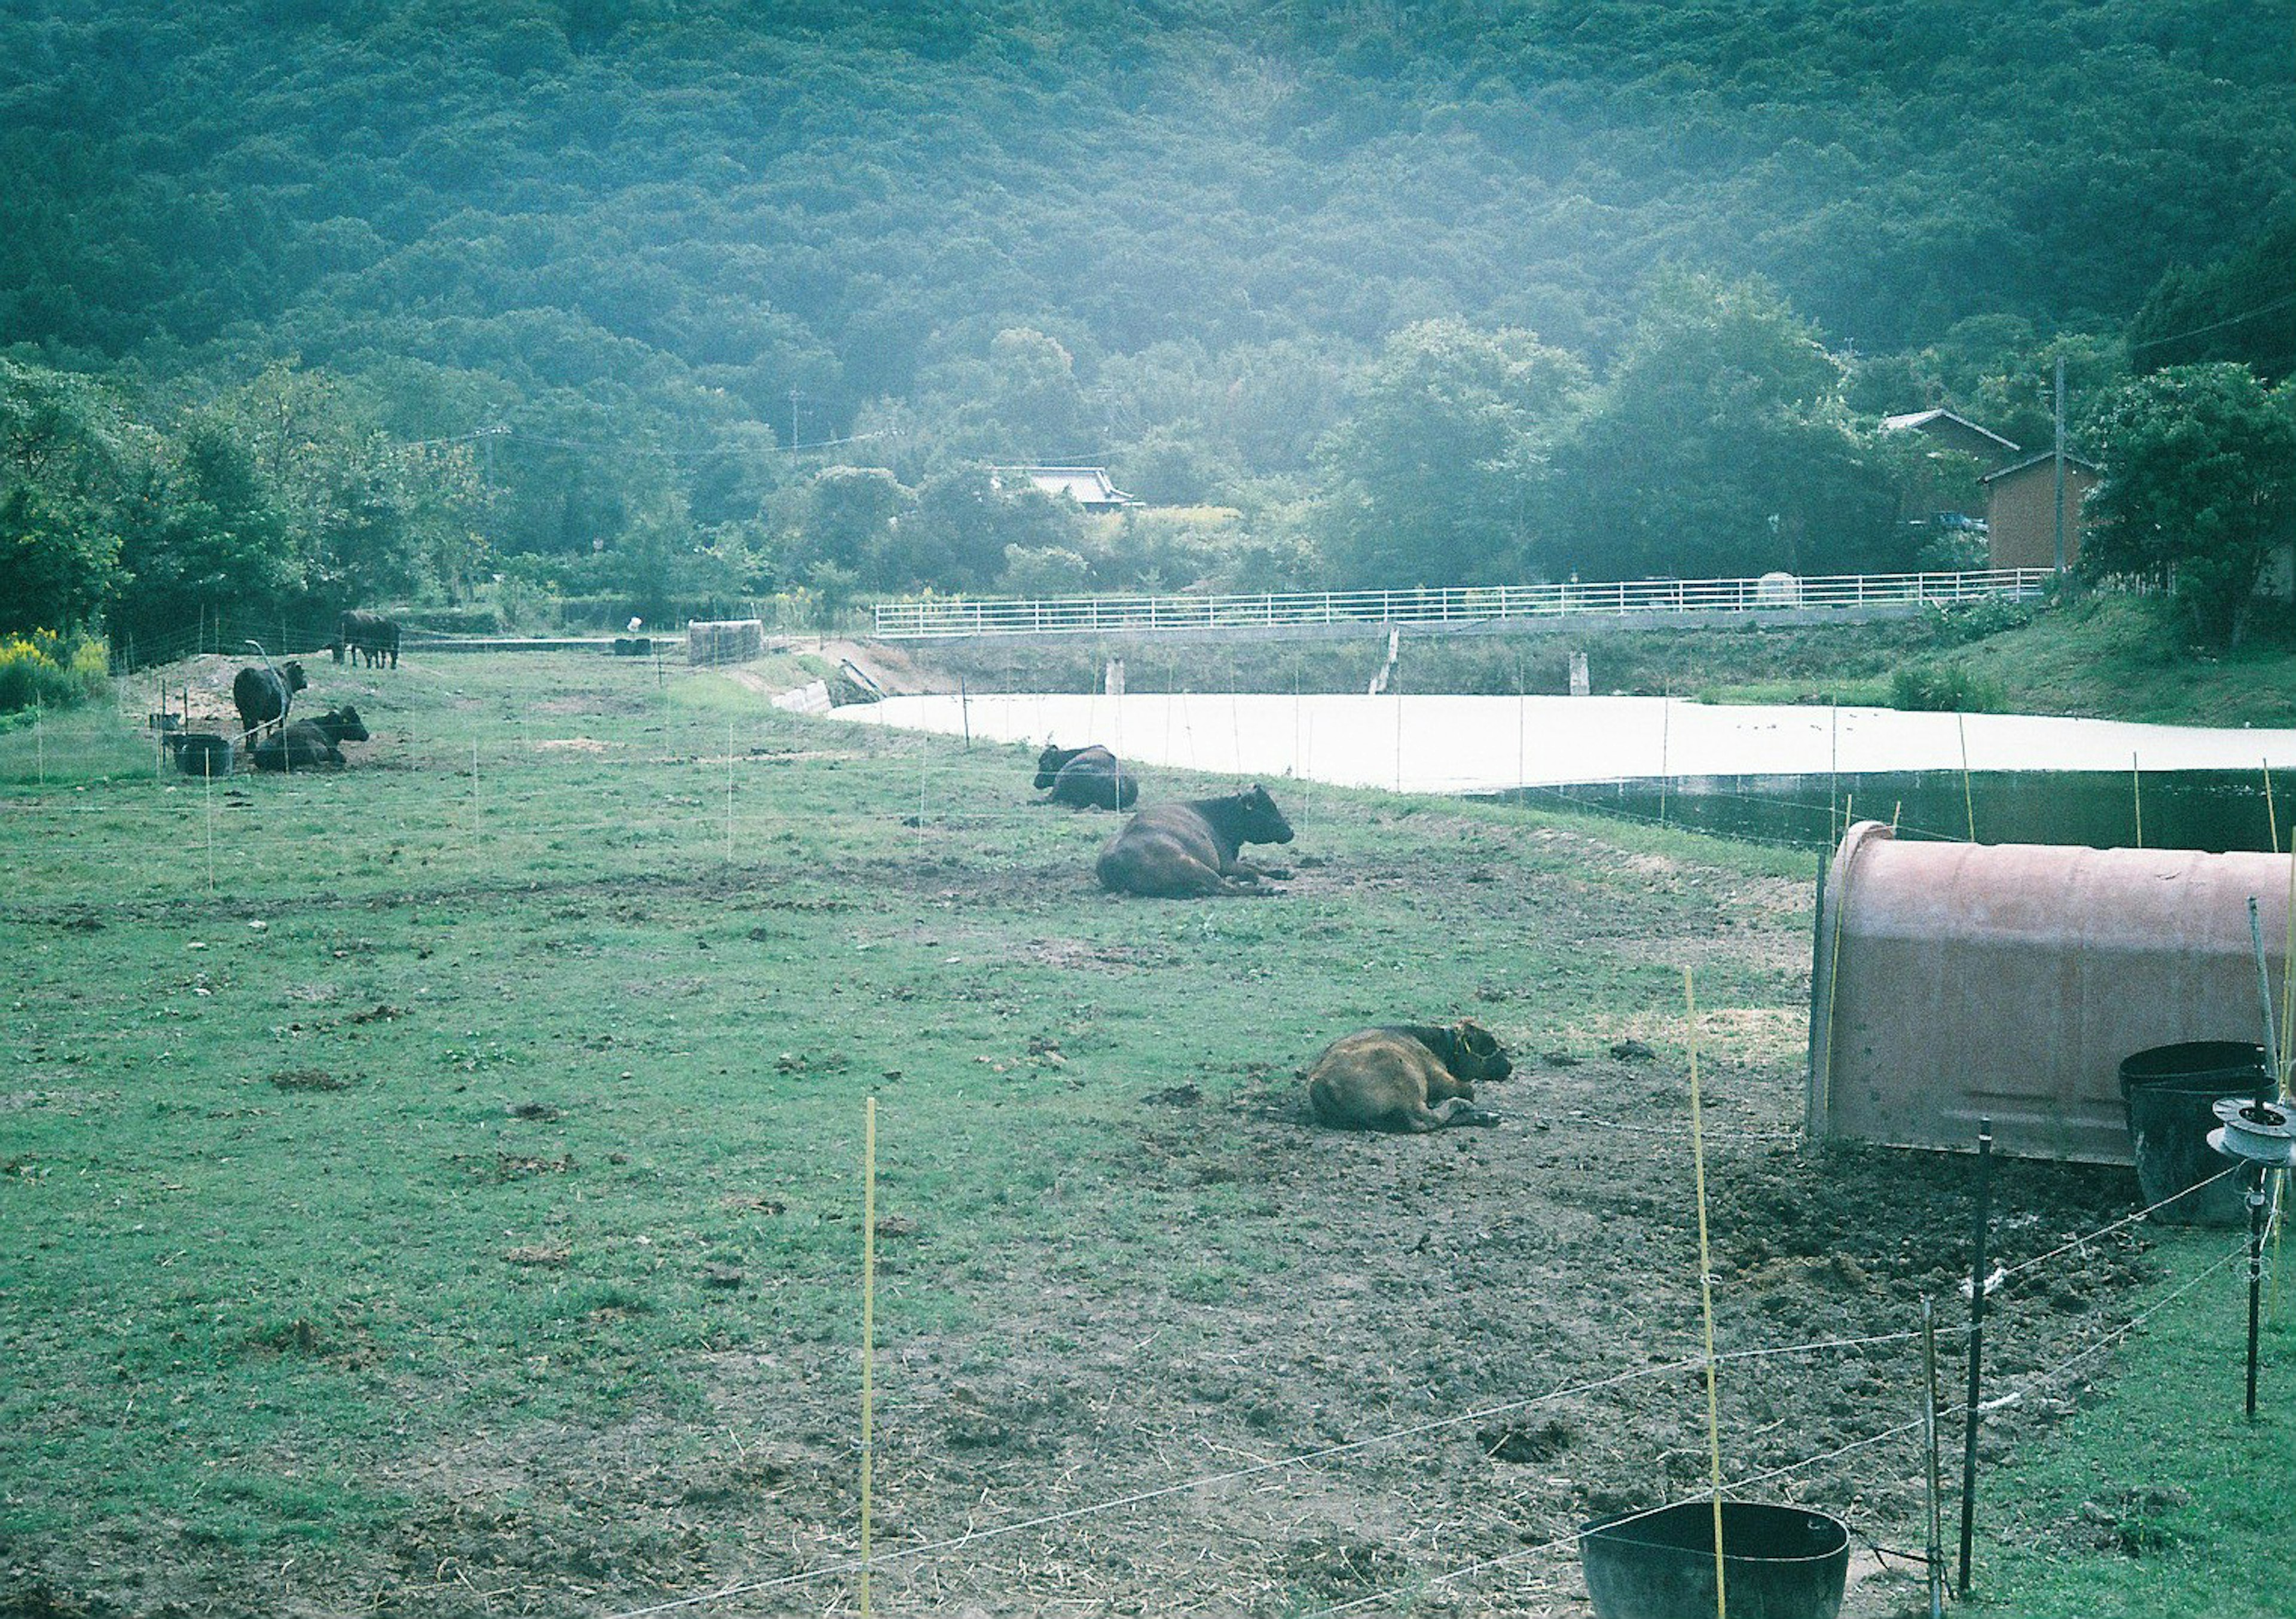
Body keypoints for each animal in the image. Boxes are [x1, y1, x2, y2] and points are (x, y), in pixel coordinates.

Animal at [233, 656, 307, 744]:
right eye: (302, 671)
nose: (305, 683)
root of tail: (247, 673)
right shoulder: (285, 711)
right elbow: (279, 726)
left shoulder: (269, 715)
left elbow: (268, 728)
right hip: (255, 711)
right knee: (254, 728)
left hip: (242, 710)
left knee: (247, 728)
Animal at [1092, 780, 1294, 896]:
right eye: (1267, 807)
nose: (1290, 832)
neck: (1218, 817)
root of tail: (1112, 860)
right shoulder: (1225, 863)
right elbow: (1253, 872)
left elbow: (1257, 867)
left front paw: (1282, 872)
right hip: (1192, 864)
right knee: (1222, 887)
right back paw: (1269, 889)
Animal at [1304, 1015, 1515, 1129]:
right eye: (1487, 1045)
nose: (1508, 1066)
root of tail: (1321, 1084)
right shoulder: (1438, 1076)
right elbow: (1468, 1090)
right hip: (1408, 1085)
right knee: (1429, 1118)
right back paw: (1480, 1113)